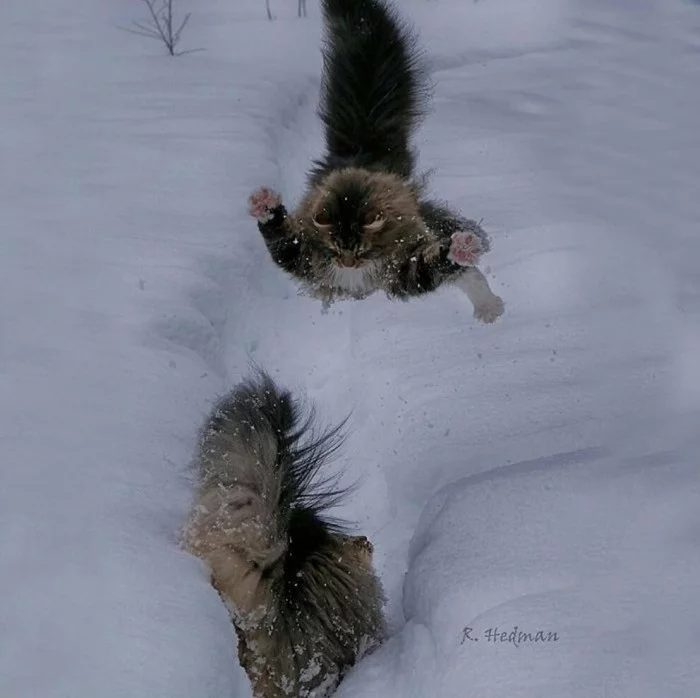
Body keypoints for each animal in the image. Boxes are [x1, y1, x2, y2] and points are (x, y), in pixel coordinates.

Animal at [249, 0, 506, 324]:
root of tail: (363, 150)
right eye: (335, 249)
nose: (347, 265)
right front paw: (265, 205)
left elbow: (436, 262)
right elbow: (281, 237)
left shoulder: (406, 267)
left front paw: (458, 250)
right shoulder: (304, 252)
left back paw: (488, 304)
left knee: (469, 274)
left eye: (361, 250)